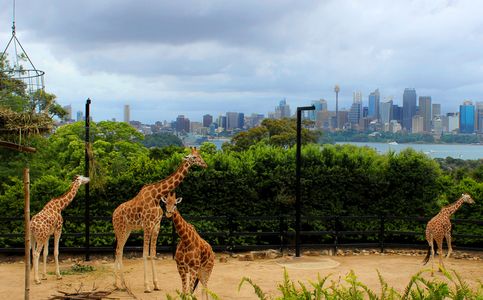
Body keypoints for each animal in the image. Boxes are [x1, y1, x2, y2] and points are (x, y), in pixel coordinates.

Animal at [112, 148, 207, 292]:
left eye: (200, 155)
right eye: (194, 157)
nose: (205, 164)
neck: (157, 196)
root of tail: (113, 214)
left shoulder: (157, 225)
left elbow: (153, 253)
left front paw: (156, 284)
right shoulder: (147, 225)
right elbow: (145, 254)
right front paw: (147, 286)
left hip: (127, 230)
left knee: (120, 251)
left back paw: (118, 284)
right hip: (120, 229)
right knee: (118, 251)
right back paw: (121, 284)